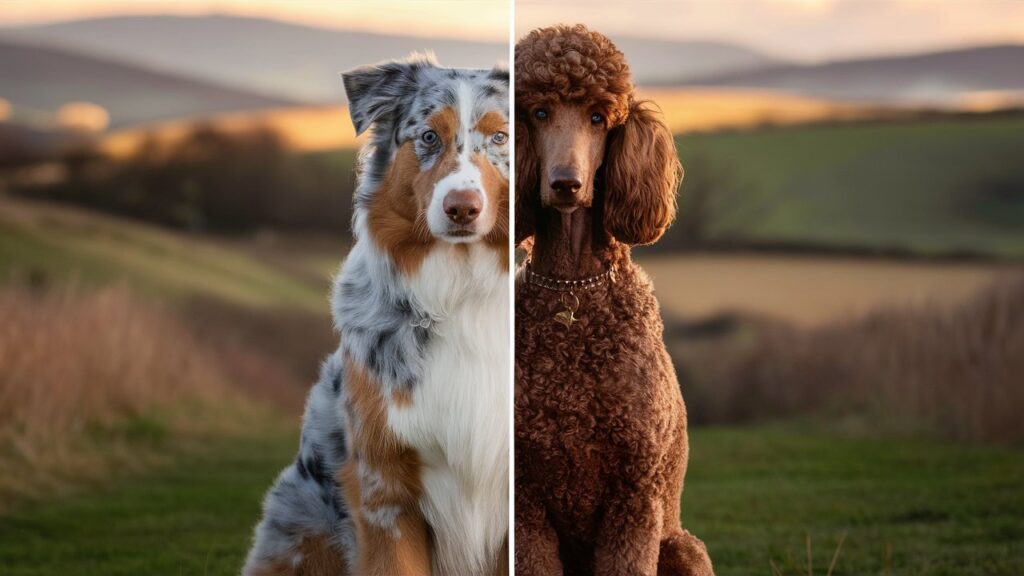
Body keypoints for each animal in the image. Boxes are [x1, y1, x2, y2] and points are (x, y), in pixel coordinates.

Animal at [516, 24, 716, 569]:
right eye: (538, 112)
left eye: (598, 117)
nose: (565, 184)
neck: (572, 291)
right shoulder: (524, 502)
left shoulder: (634, 495)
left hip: (682, 547)